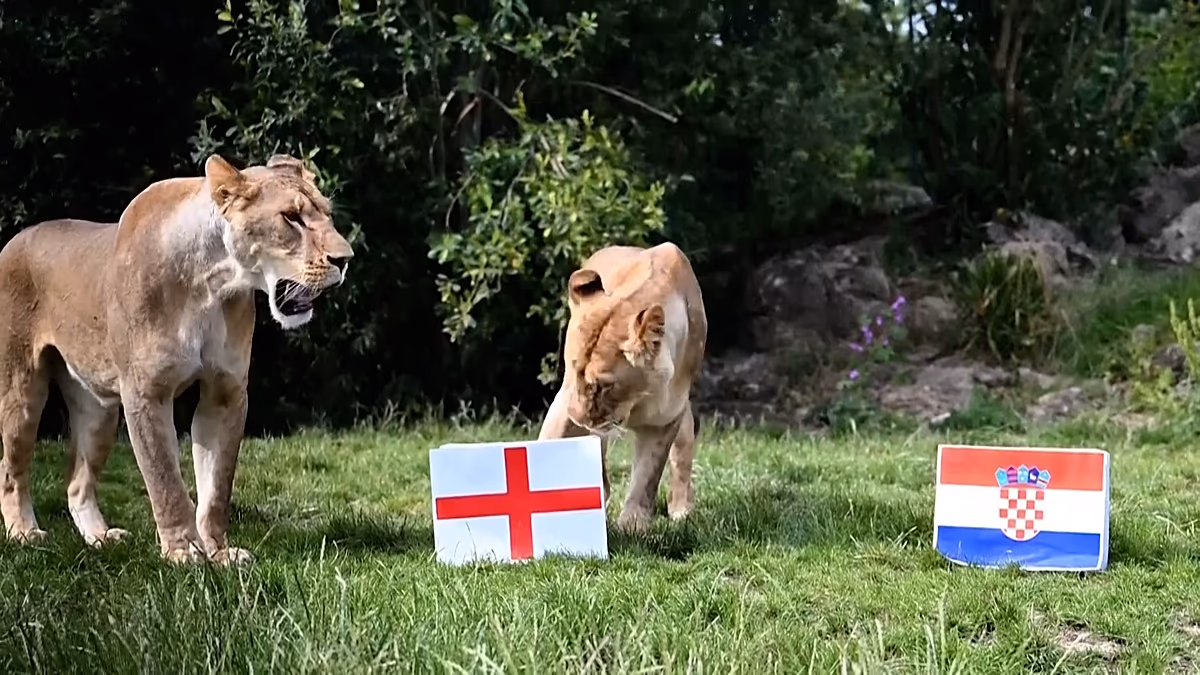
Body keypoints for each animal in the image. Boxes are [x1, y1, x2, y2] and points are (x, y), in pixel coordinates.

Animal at [0, 153, 353, 564]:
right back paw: (24, 533)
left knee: (76, 483)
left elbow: (216, 487)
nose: (346, 259)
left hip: (98, 411)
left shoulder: (226, 393)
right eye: (290, 217)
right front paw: (184, 552)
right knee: (11, 469)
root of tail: (14, 240)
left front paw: (219, 553)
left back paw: (101, 537)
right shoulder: (147, 393)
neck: (212, 284)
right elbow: (165, 480)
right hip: (22, 391)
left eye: (327, 214)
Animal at [537, 242, 707, 532]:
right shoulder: (564, 400)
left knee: (682, 451)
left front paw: (633, 526)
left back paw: (680, 509)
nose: (576, 417)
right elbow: (548, 442)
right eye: (573, 370)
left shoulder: (665, 419)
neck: (635, 400)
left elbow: (646, 477)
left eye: (603, 386)